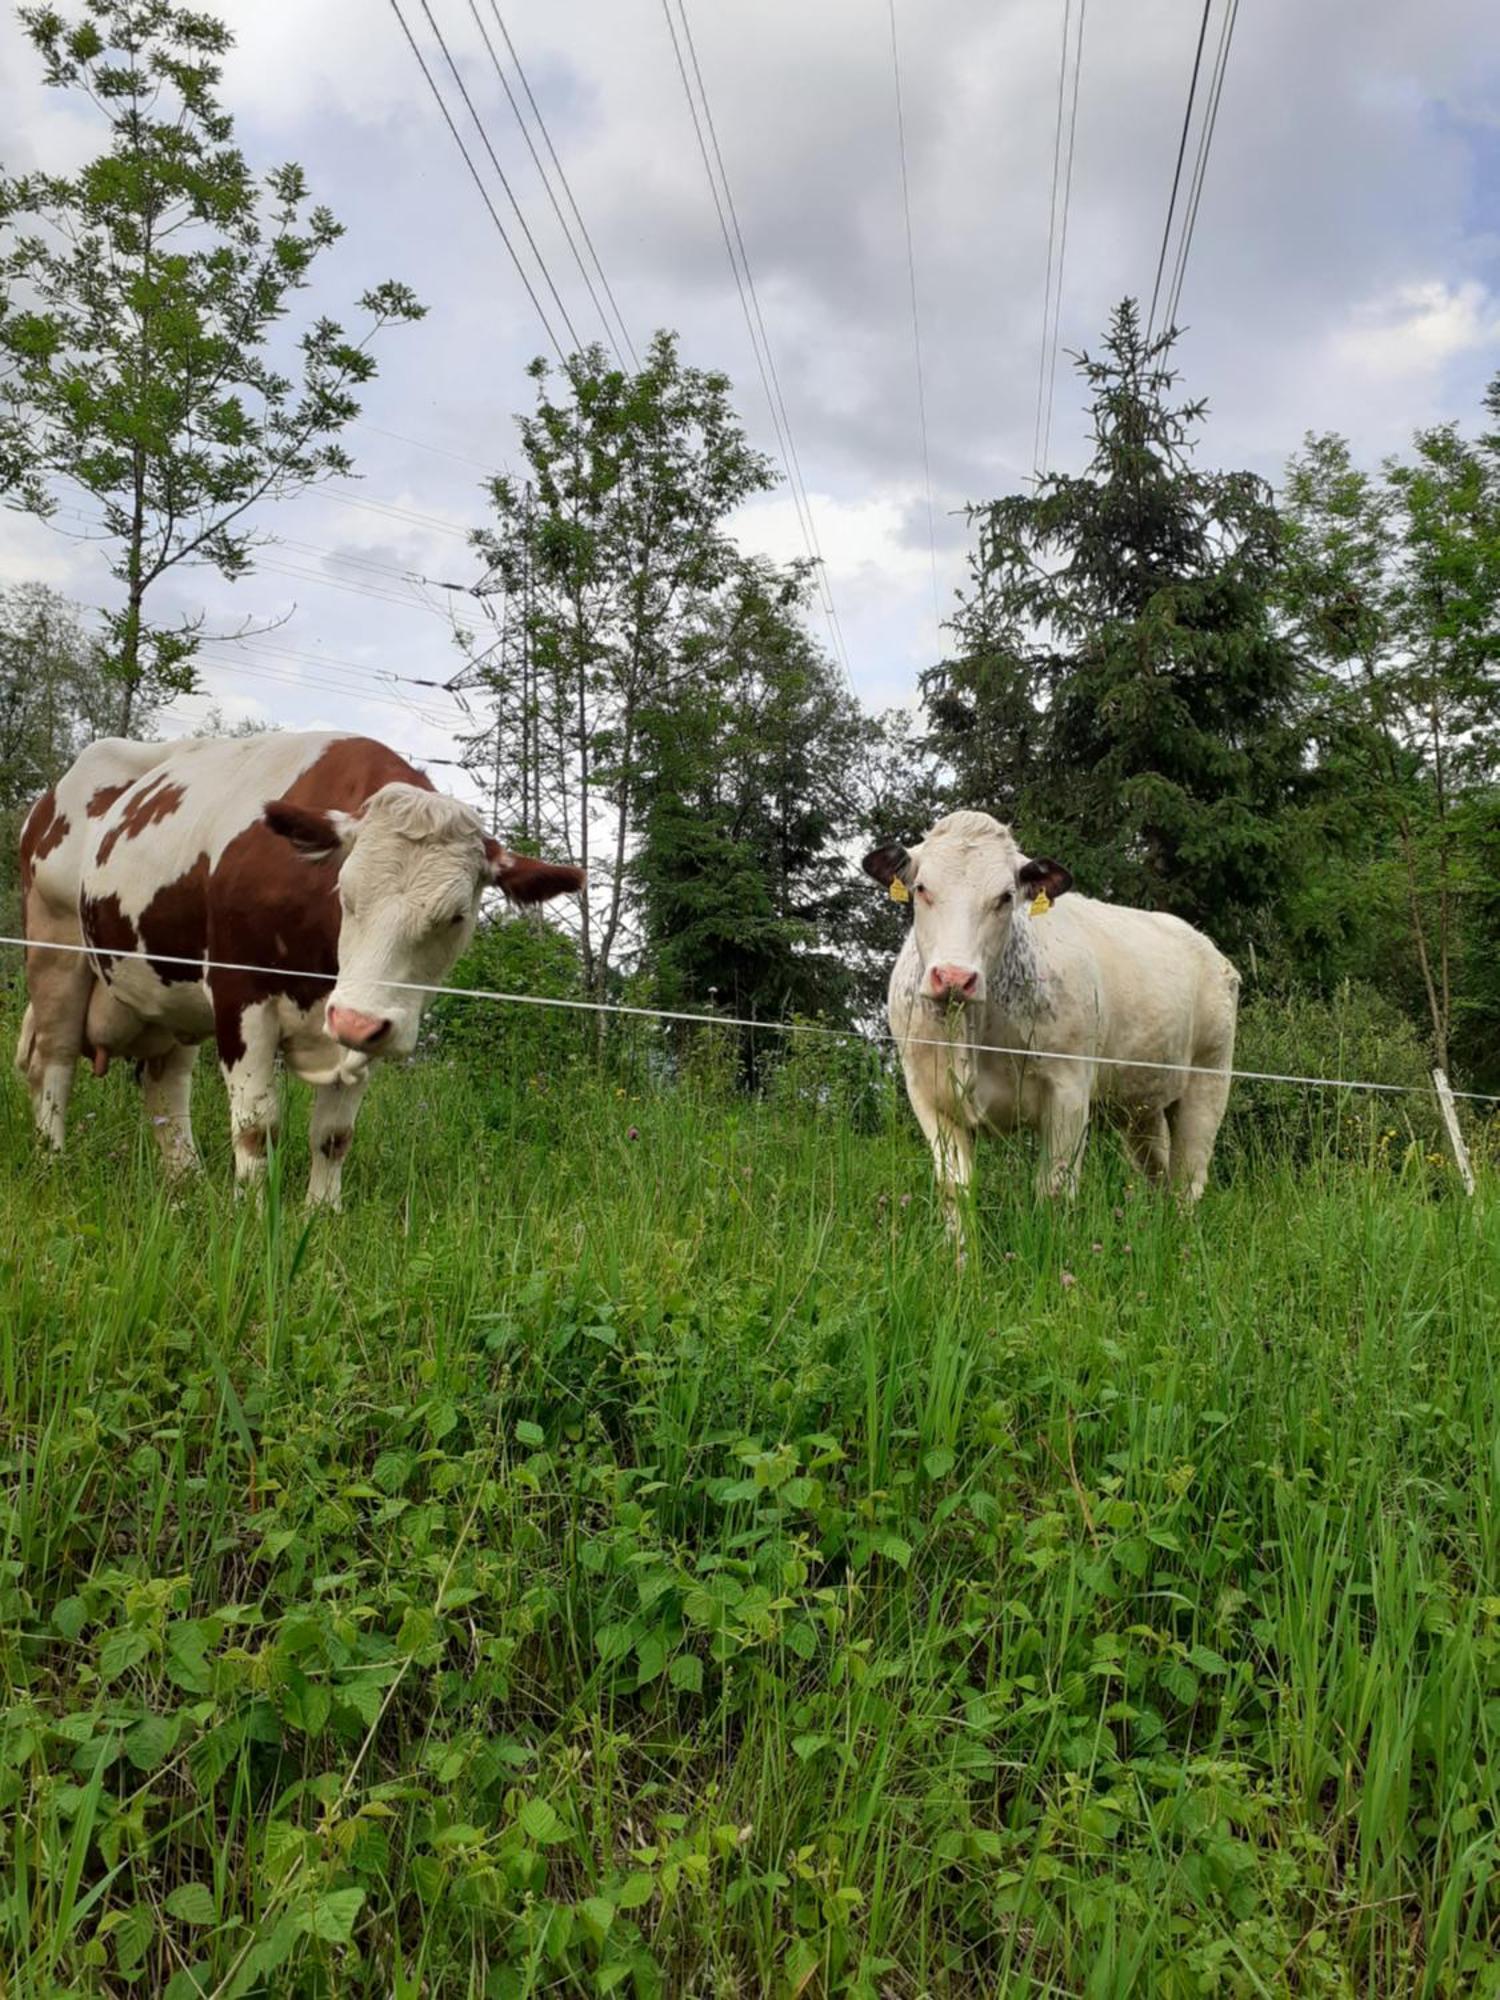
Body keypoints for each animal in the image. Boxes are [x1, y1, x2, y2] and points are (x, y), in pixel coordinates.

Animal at [25, 732, 588, 1200]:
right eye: (346, 893)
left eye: (456, 916)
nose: (355, 1020)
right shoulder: (240, 995)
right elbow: (257, 1127)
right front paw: (253, 1215)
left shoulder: (360, 1021)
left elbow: (334, 1135)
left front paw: (321, 1213)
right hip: (55, 945)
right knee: (53, 1062)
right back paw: (52, 1161)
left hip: (170, 992)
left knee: (166, 1084)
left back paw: (186, 1180)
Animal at [868, 812, 1248, 1216]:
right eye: (922, 888)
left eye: (1005, 897)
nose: (955, 977)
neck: (974, 1032)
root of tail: (1208, 948)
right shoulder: (928, 1095)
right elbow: (956, 1189)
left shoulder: (1069, 1090)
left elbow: (1053, 1190)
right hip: (1141, 1103)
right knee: (1158, 1172)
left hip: (1208, 1081)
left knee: (1187, 1182)